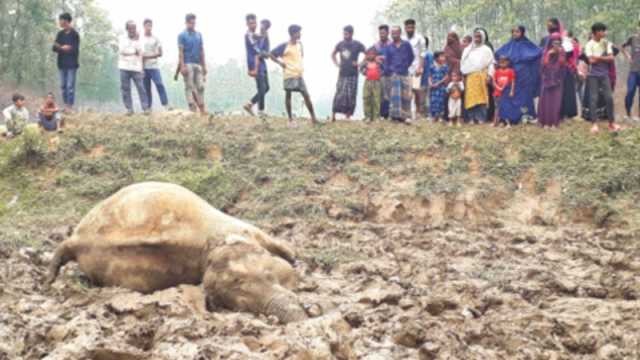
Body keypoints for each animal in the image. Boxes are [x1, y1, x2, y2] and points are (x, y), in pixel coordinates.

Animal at [47, 183, 308, 324]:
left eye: (269, 275)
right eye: (239, 305)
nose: (306, 314)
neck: (209, 248)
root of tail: (76, 239)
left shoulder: (239, 227)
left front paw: (296, 261)